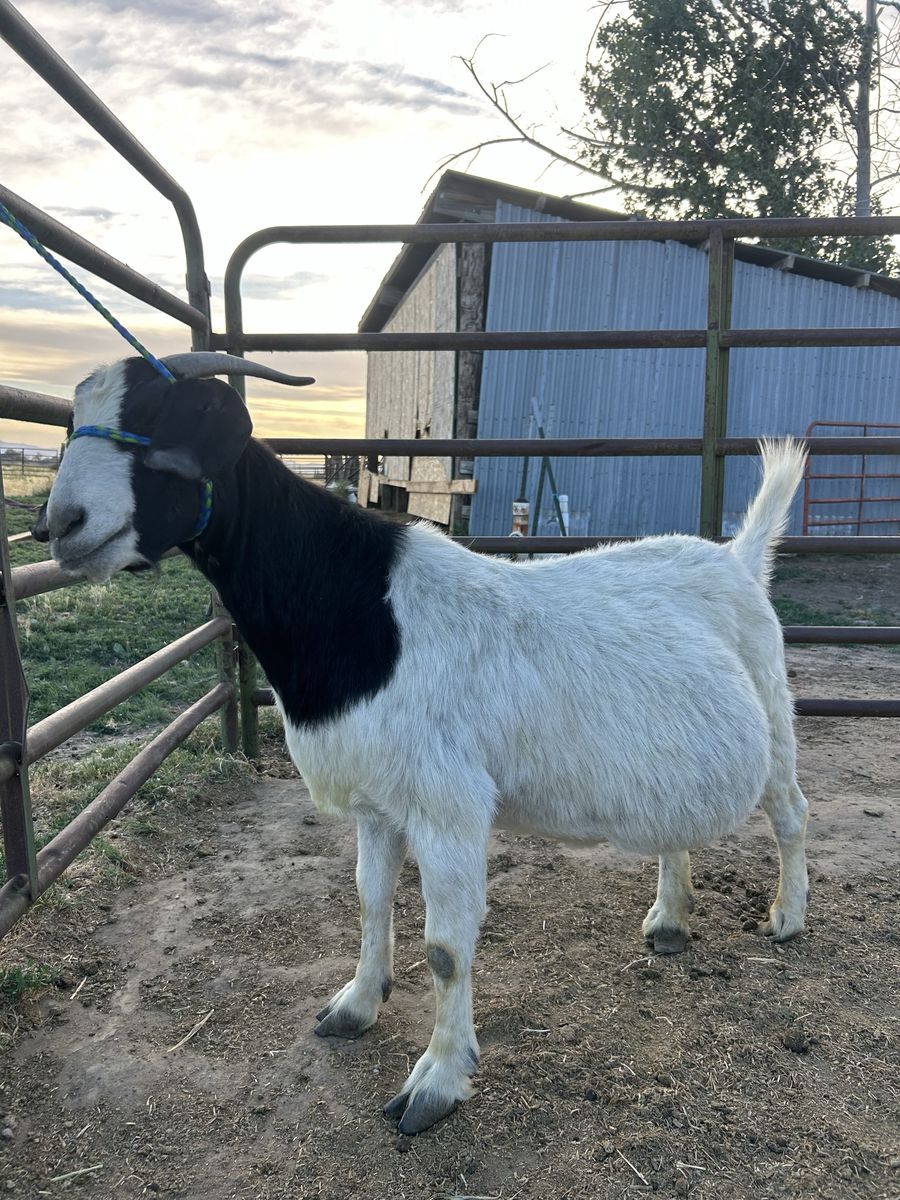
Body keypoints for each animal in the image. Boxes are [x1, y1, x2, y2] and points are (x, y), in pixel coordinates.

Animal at [36, 354, 810, 1135]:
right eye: (73, 422)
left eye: (163, 421)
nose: (60, 524)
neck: (362, 609)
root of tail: (739, 559)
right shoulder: (377, 801)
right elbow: (369, 901)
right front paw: (355, 1003)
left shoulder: (448, 804)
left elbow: (444, 950)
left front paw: (436, 1080)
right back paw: (671, 919)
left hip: (774, 706)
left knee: (791, 812)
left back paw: (788, 917)